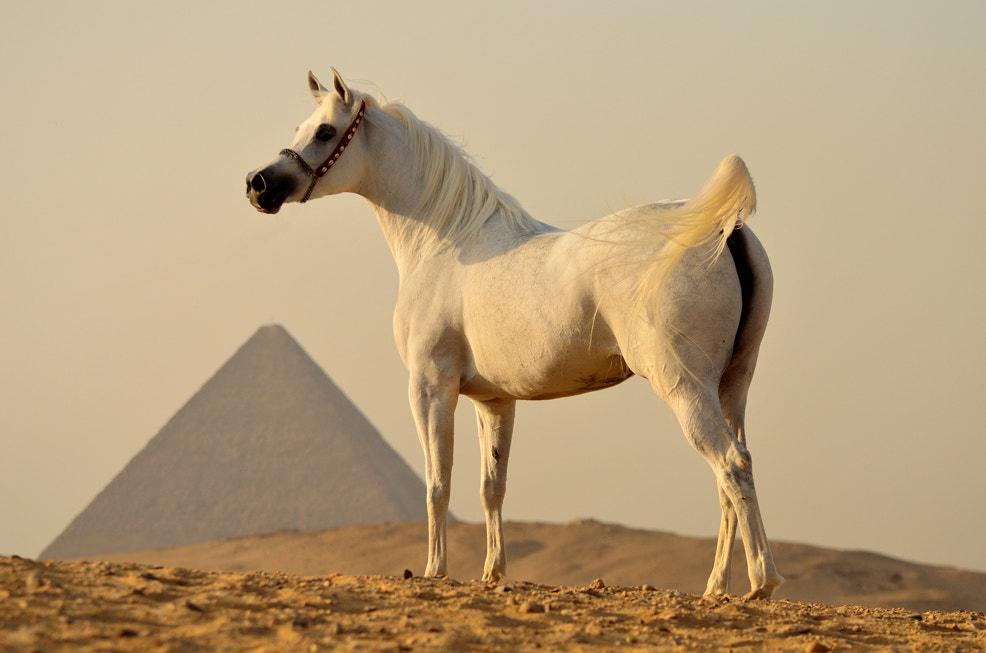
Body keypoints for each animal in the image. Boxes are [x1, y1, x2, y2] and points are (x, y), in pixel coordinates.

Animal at [245, 68, 784, 599]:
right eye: (300, 126)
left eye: (325, 131)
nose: (258, 185)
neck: (447, 243)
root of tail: (724, 230)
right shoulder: (494, 400)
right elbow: (492, 487)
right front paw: (492, 572)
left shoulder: (430, 387)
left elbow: (437, 483)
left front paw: (435, 570)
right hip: (731, 387)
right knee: (731, 476)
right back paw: (716, 587)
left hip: (684, 386)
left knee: (731, 465)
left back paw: (762, 581)